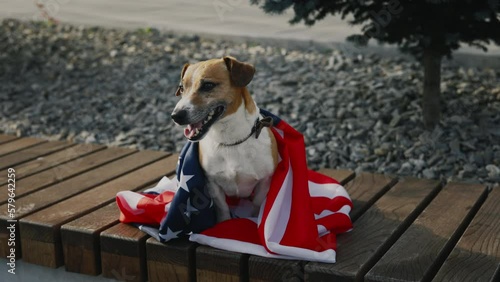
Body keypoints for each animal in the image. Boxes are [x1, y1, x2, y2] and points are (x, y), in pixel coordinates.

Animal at [171, 55, 280, 223]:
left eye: (208, 85)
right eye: (182, 88)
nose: (175, 116)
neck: (230, 140)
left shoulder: (264, 181)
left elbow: (257, 204)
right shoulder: (213, 184)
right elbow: (222, 207)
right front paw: (224, 223)